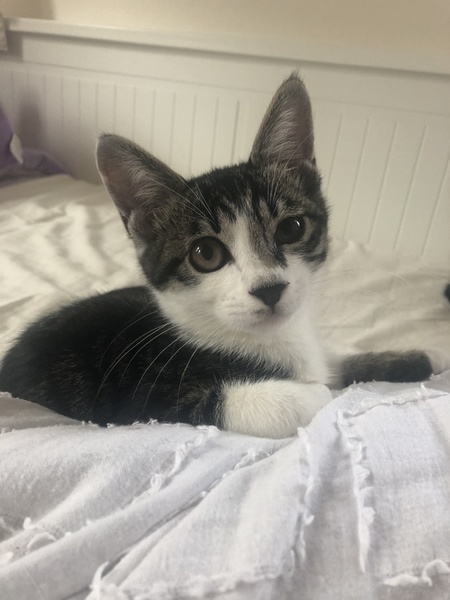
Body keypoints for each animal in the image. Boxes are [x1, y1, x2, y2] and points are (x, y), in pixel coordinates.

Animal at [0, 74, 439, 438]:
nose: (269, 288)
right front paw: (310, 393)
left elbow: (334, 363)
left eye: (291, 229)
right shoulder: (136, 395)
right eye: (205, 254)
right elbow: (285, 396)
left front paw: (423, 357)